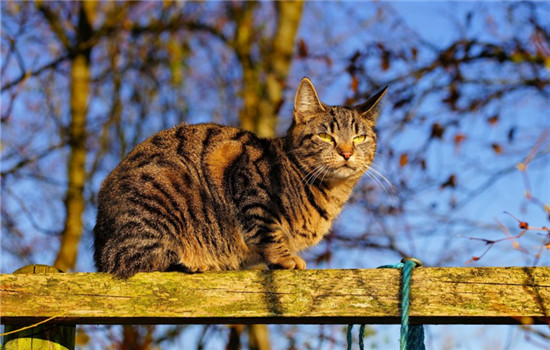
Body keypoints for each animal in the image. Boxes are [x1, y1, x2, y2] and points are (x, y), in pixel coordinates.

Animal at [94, 78, 388, 278]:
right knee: (135, 260)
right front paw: (284, 258)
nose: (347, 152)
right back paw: (195, 263)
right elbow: (267, 230)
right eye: (326, 136)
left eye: (359, 138)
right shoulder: (246, 178)